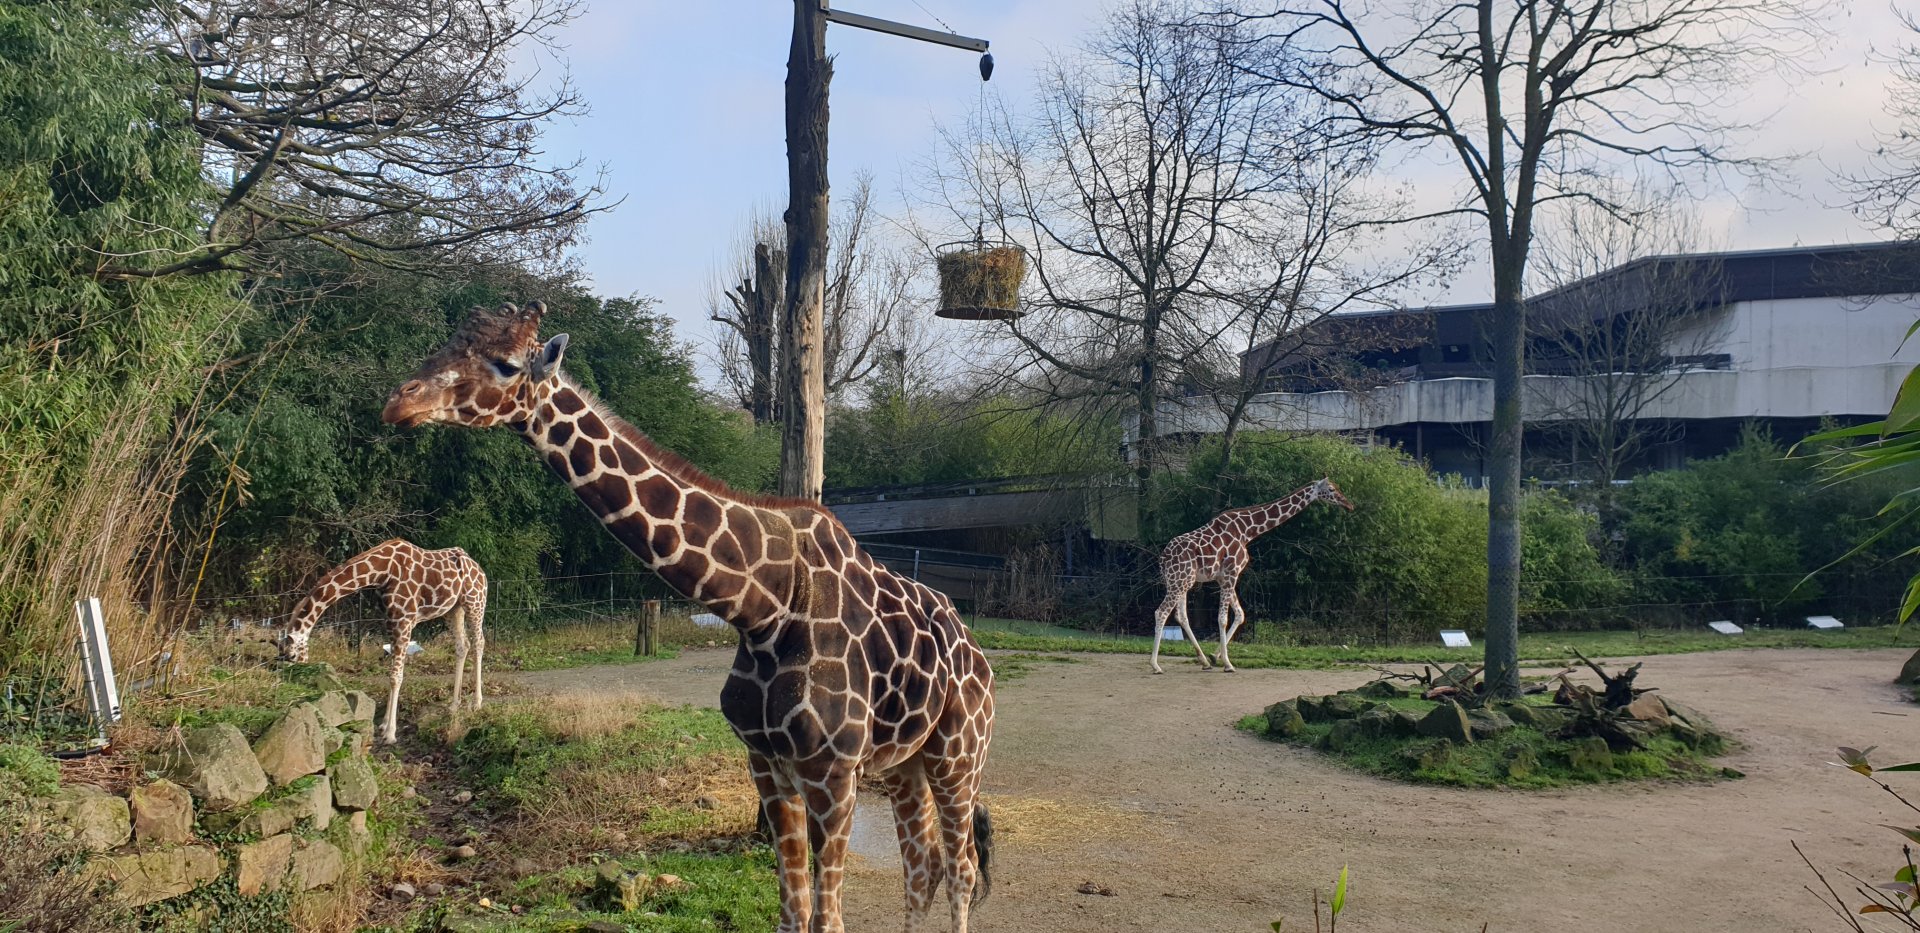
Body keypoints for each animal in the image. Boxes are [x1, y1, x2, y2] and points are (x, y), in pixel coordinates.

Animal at [277, 538, 488, 743]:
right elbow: (391, 673)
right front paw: (384, 724)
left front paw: (390, 733)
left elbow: (396, 676)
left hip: (474, 603)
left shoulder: (404, 622)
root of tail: (479, 569)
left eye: (292, 656)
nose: (292, 683)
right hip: (453, 609)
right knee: (462, 645)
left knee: (479, 642)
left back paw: (477, 703)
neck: (381, 572)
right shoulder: (390, 622)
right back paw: (454, 705)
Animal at [381, 302, 996, 933]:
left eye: (505, 364)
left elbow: (827, 918)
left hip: (959, 752)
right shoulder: (766, 763)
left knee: (961, 868)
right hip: (906, 762)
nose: (398, 403)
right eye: (448, 343)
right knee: (922, 869)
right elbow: (793, 911)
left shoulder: (832, 770)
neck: (765, 607)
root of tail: (977, 652)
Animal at [1150, 478, 1355, 674]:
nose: (1349, 504)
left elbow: (1240, 615)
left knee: (1181, 615)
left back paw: (1204, 661)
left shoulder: (1224, 577)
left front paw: (1215, 657)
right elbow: (1223, 618)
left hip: (1182, 582)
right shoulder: (1232, 573)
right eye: (1331, 489)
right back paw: (1155, 665)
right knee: (1161, 612)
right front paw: (1228, 664)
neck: (1247, 530)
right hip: (1179, 581)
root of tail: (1163, 557)